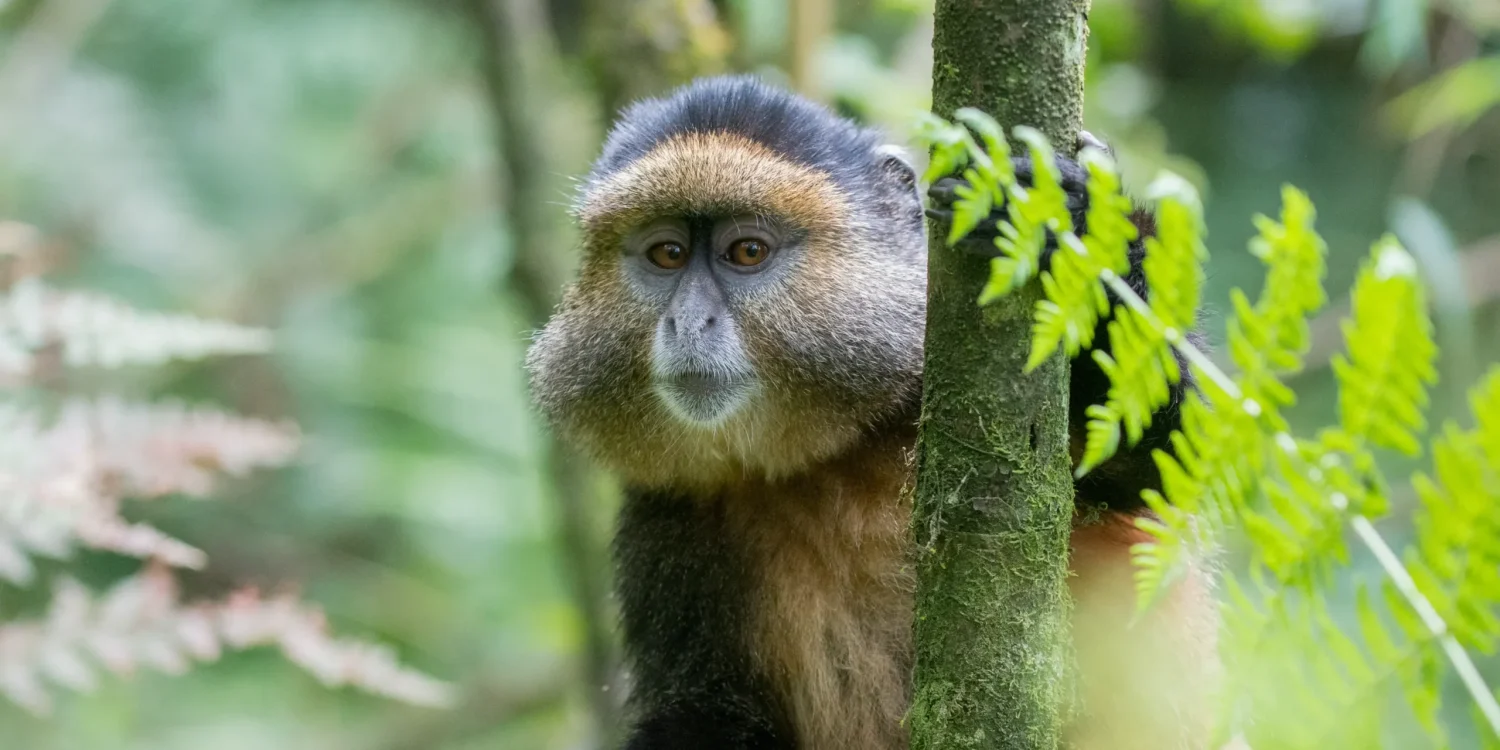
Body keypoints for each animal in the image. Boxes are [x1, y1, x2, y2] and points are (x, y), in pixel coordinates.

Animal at [526, 75, 1222, 750]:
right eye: (667, 255)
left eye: (747, 252)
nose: (687, 321)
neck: (834, 453)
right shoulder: (665, 516)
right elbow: (704, 711)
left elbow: (1170, 461)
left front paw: (1070, 224)